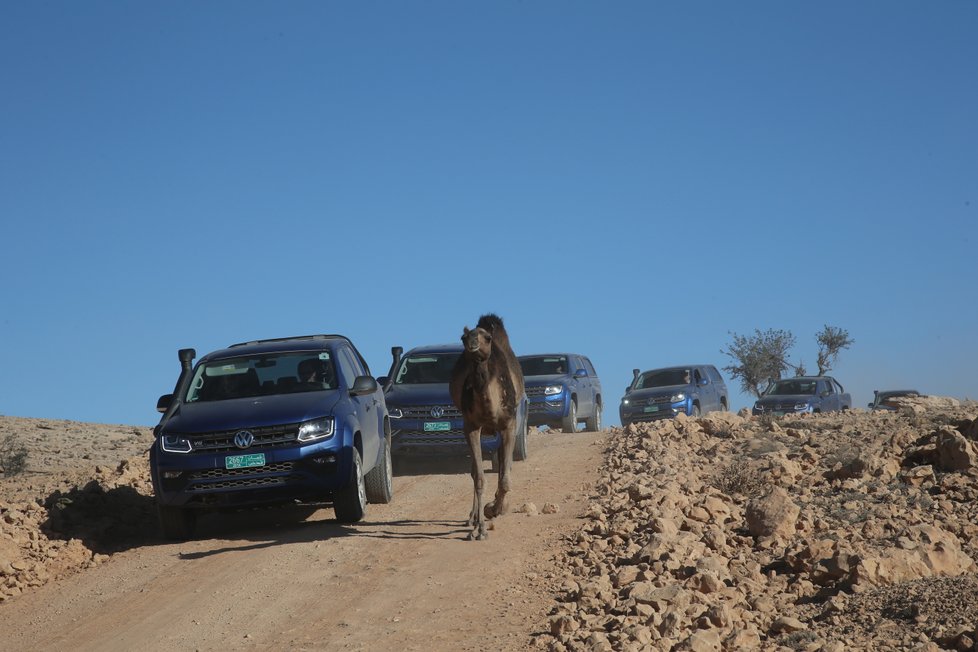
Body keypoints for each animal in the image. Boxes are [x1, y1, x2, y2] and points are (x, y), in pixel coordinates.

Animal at [450, 314, 528, 544]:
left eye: (487, 338)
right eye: (463, 337)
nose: (472, 343)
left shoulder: (509, 426)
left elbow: (505, 479)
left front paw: (494, 509)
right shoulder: (471, 427)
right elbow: (479, 478)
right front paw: (480, 528)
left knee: (502, 468)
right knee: (476, 472)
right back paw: (473, 519)